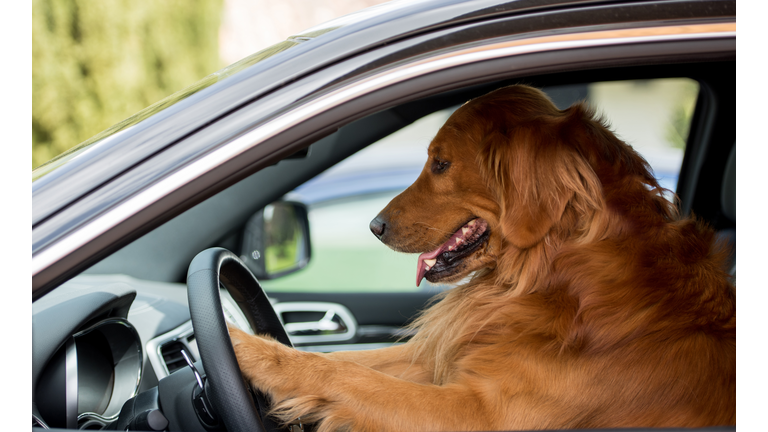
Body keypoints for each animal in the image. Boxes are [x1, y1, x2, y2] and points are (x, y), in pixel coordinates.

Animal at [230, 85, 736, 432]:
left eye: (441, 164)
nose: (374, 225)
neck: (556, 271)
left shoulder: (479, 413)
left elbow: (346, 375)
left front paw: (239, 346)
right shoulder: (449, 355)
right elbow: (343, 360)